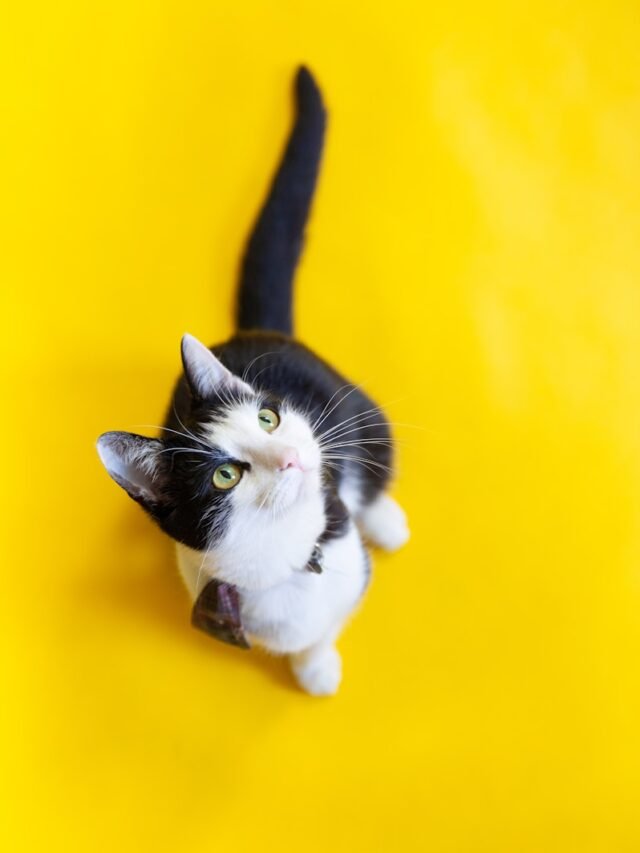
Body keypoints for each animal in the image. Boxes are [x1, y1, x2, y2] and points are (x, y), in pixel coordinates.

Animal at [97, 66, 408, 692]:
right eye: (224, 476)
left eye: (268, 417)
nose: (290, 457)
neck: (291, 559)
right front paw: (313, 662)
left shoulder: (344, 552)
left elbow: (335, 614)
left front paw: (317, 665)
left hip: (359, 408)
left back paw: (387, 520)